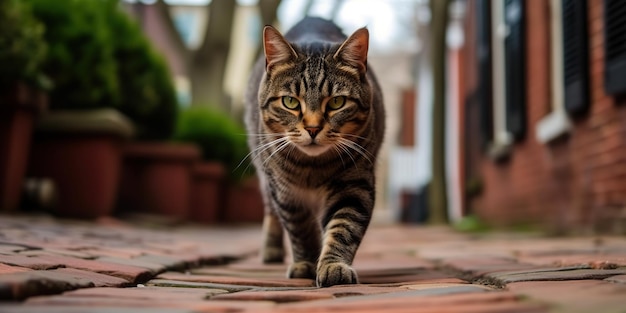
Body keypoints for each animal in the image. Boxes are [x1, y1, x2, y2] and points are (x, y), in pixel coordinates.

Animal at [245, 16, 386, 286]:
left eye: (336, 102)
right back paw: (271, 250)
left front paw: (332, 266)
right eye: (290, 102)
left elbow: (343, 228)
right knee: (271, 212)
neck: (312, 168)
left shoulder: (354, 185)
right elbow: (300, 230)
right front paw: (306, 263)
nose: (312, 128)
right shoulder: (286, 194)